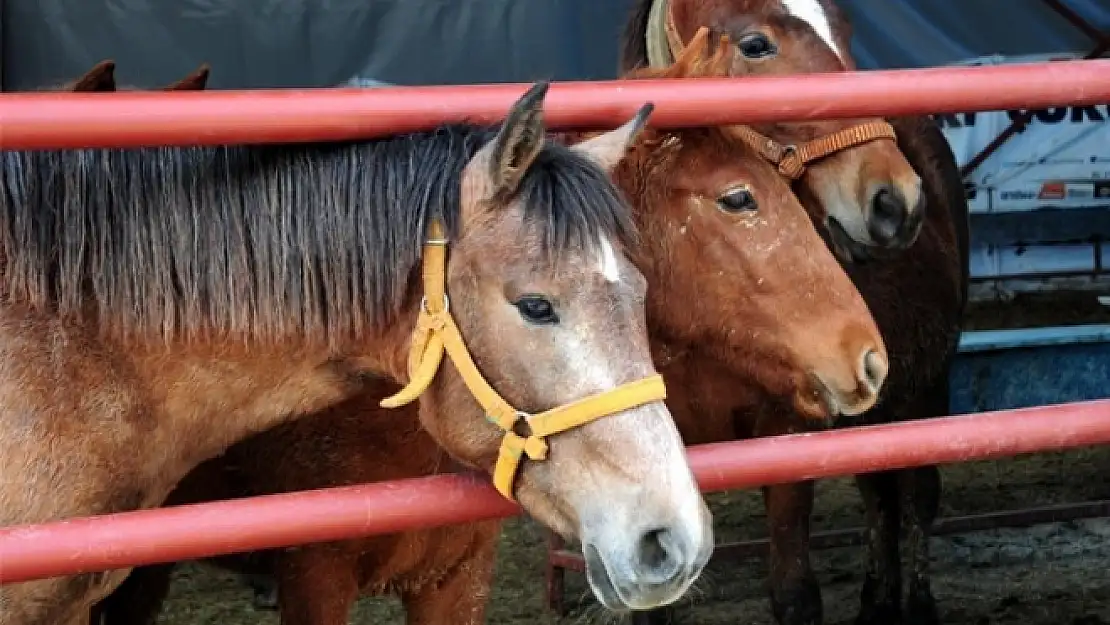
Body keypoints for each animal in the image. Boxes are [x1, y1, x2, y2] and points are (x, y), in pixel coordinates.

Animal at [626, 2, 972, 621]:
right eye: (755, 45)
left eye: (848, 31)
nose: (896, 201)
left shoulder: (791, 434)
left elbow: (794, 593)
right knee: (878, 494)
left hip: (924, 391)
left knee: (916, 496)